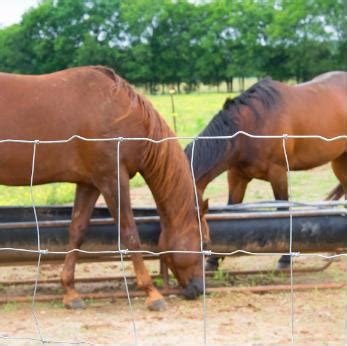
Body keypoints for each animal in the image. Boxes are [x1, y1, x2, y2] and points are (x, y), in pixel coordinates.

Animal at [0, 65, 209, 310]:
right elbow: (130, 233)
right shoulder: (112, 178)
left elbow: (77, 231)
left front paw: (70, 292)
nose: (199, 288)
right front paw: (152, 293)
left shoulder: (89, 184)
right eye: (204, 243)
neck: (121, 113)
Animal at [186, 71, 346, 268]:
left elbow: (283, 212)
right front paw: (214, 260)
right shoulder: (237, 176)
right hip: (340, 161)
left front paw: (285, 259)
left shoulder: (278, 174)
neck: (248, 127)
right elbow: (230, 211)